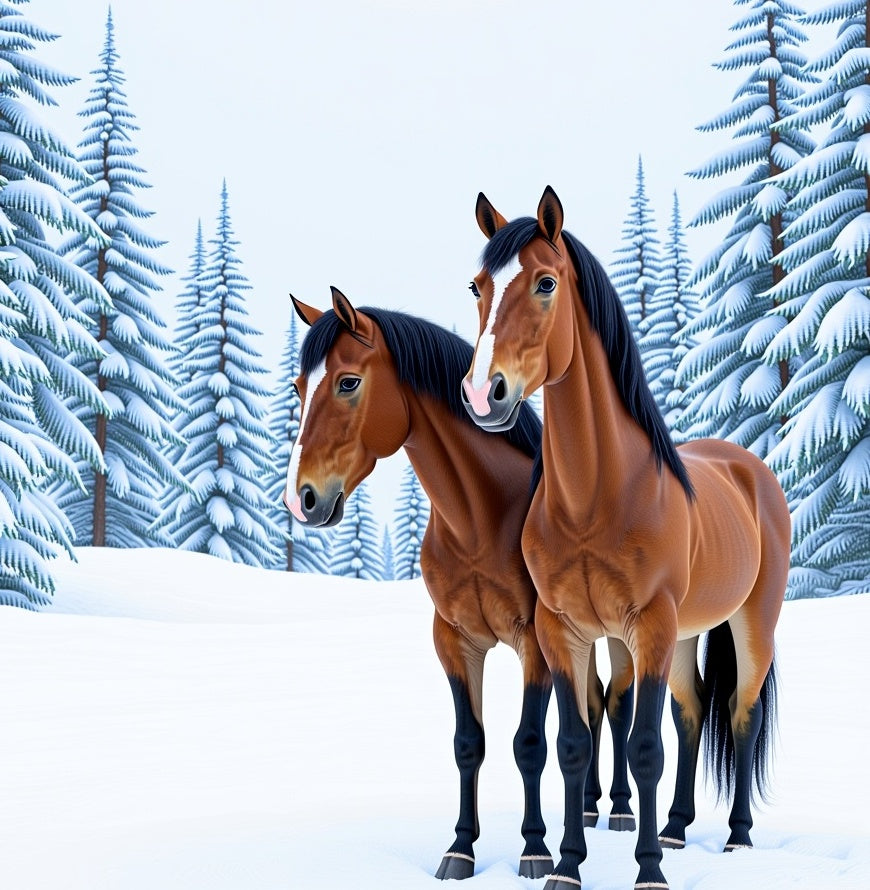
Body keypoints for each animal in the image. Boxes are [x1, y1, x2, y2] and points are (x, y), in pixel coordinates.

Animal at [460, 187, 790, 890]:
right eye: (477, 285)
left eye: (546, 283)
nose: (483, 394)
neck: (596, 499)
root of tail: (751, 472)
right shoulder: (562, 629)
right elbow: (574, 743)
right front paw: (566, 866)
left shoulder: (649, 625)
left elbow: (643, 748)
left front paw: (648, 873)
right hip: (690, 630)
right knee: (693, 712)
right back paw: (676, 828)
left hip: (750, 621)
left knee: (741, 716)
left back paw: (736, 838)